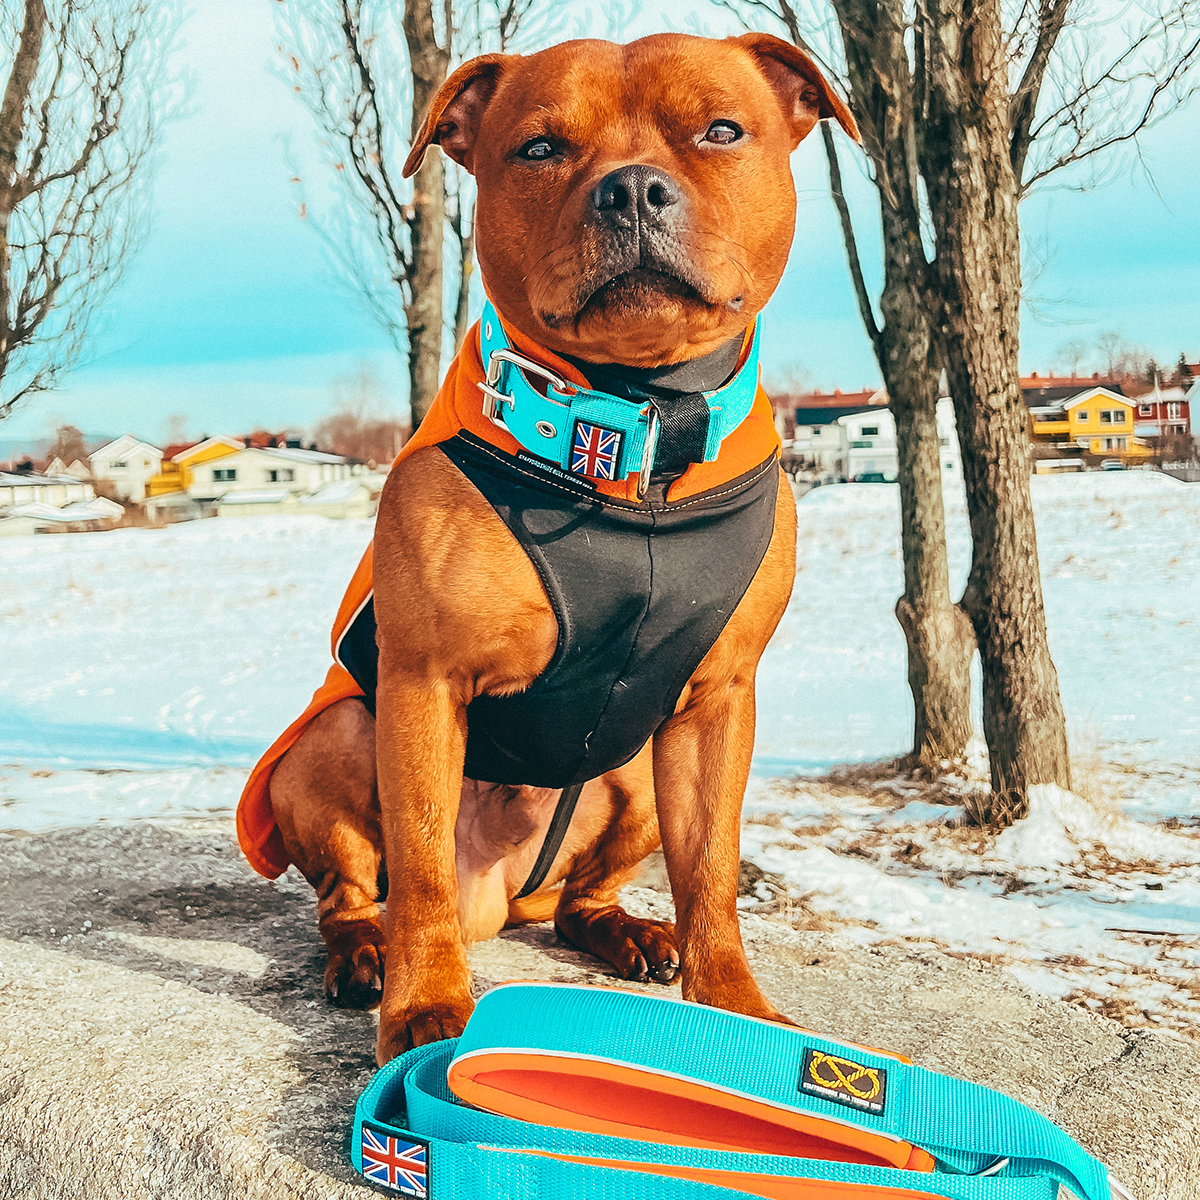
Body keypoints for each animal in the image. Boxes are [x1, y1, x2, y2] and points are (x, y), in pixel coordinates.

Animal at [248, 28, 859, 1065]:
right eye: (538, 149)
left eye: (721, 130)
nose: (634, 190)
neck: (637, 430)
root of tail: (502, 899)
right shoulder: (423, 684)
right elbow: (418, 864)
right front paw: (424, 1007)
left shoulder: (718, 705)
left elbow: (713, 873)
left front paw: (735, 1007)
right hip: (333, 741)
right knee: (360, 894)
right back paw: (365, 954)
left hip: (634, 773)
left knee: (582, 899)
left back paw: (629, 933)